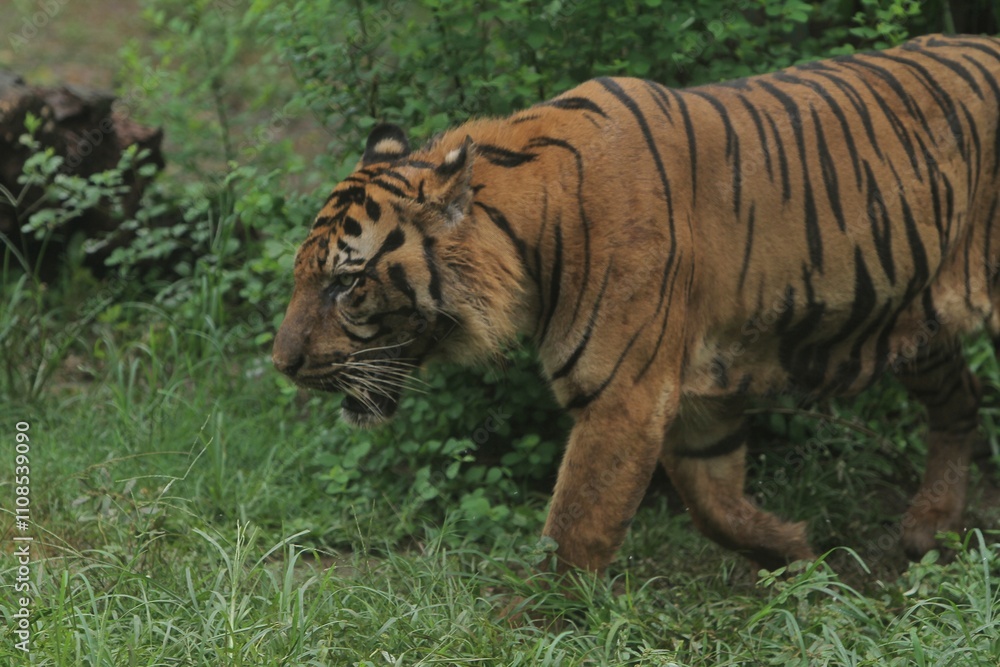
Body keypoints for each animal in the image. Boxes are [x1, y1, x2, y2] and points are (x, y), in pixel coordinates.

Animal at [273, 33, 1000, 574]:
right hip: (916, 318)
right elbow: (713, 505)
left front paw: (531, 623)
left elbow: (576, 525)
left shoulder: (623, 393)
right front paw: (793, 551)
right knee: (961, 399)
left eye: (346, 284)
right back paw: (931, 525)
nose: (282, 364)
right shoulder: (695, 397)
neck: (528, 233)